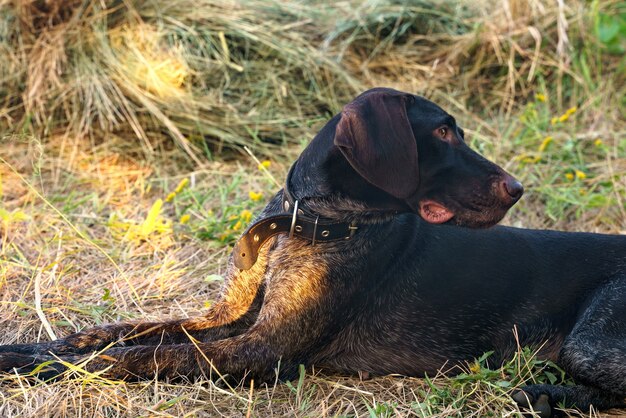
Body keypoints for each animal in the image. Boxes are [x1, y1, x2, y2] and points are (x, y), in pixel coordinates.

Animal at [1, 86, 624, 416]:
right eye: (444, 133)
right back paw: (543, 391)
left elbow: (134, 356)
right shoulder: (229, 317)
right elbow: (115, 333)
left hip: (591, 339)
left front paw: (46, 368)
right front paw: (26, 351)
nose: (518, 189)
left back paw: (544, 392)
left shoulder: (262, 350)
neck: (304, 225)